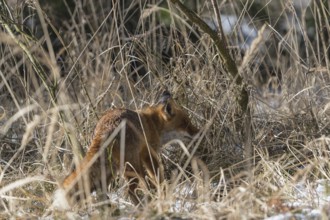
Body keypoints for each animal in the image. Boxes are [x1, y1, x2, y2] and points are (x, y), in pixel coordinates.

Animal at [57, 91, 199, 206]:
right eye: (185, 123)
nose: (198, 132)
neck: (152, 124)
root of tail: (104, 130)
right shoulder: (148, 154)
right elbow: (158, 178)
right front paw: (164, 195)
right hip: (132, 168)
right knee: (129, 191)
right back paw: (142, 207)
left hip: (110, 170)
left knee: (101, 191)